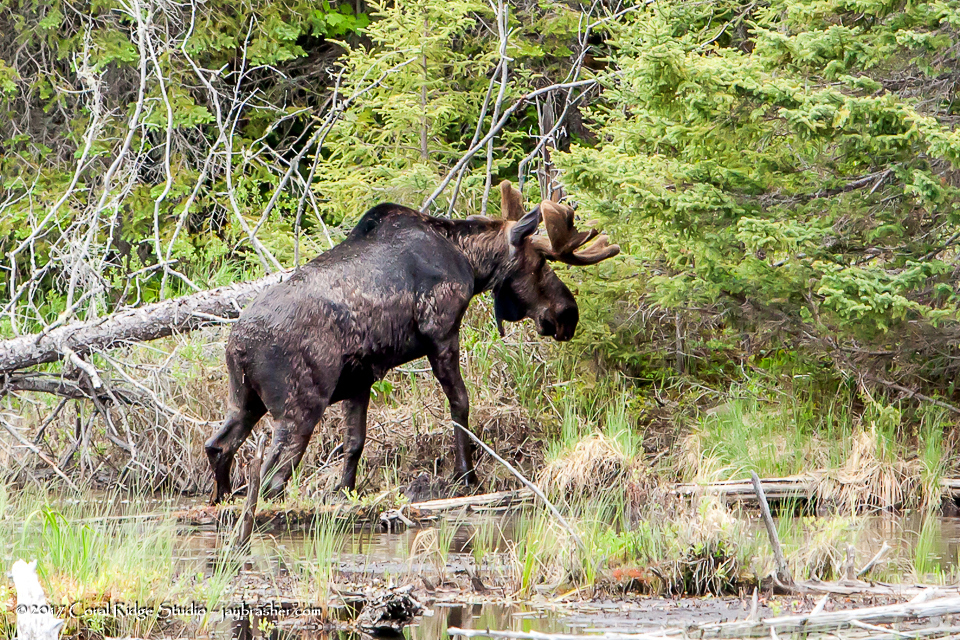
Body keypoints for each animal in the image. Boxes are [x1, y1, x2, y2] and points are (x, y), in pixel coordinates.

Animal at [204, 181, 619, 503]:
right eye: (539, 263)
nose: (568, 314)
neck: (470, 262)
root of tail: (238, 347)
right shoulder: (441, 332)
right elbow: (460, 405)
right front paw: (467, 476)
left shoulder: (360, 378)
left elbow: (355, 442)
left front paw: (345, 492)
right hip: (299, 408)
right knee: (269, 481)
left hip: (244, 401)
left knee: (217, 447)